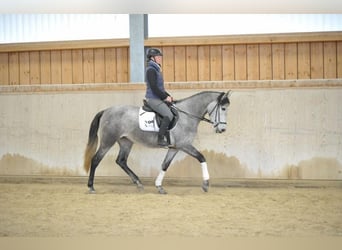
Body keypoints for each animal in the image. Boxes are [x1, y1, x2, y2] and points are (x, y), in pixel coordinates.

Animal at [84, 91, 231, 194]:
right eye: (223, 108)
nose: (222, 129)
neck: (187, 115)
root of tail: (106, 110)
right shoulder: (184, 145)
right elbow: (201, 157)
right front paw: (206, 184)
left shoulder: (174, 148)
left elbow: (165, 165)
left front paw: (159, 186)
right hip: (108, 141)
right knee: (96, 159)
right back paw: (91, 187)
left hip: (126, 142)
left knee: (121, 161)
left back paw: (138, 183)